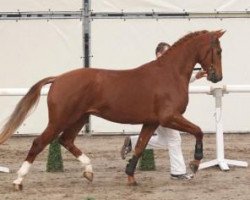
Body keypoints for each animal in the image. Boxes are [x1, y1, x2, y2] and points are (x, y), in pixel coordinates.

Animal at [0, 29, 225, 189]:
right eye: (219, 51)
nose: (217, 77)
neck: (170, 74)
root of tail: (58, 79)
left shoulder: (151, 122)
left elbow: (140, 146)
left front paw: (131, 177)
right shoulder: (168, 117)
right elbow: (198, 131)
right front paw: (194, 165)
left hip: (80, 118)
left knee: (66, 140)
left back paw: (89, 171)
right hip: (60, 119)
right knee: (39, 142)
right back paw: (19, 181)